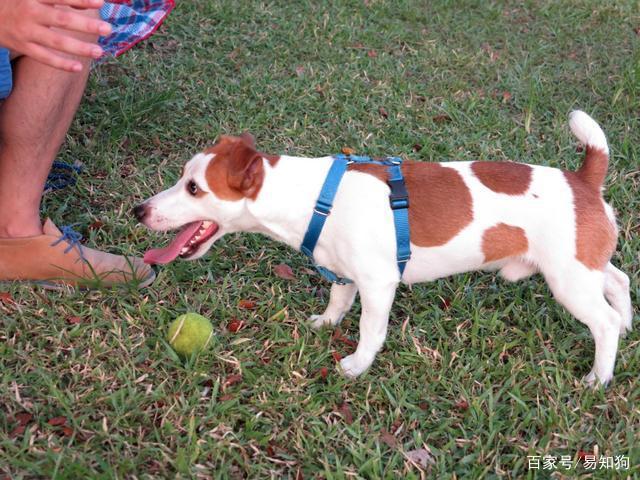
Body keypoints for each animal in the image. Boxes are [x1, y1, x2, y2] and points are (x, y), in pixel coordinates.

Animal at [132, 110, 632, 384]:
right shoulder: (344, 272)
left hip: (567, 278)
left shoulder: (378, 282)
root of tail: (583, 180)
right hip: (582, 264)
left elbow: (370, 330)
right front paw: (326, 323)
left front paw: (356, 365)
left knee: (602, 322)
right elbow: (337, 301)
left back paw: (599, 375)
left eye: (193, 188)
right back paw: (628, 322)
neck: (314, 196)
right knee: (618, 278)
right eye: (183, 178)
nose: (139, 210)